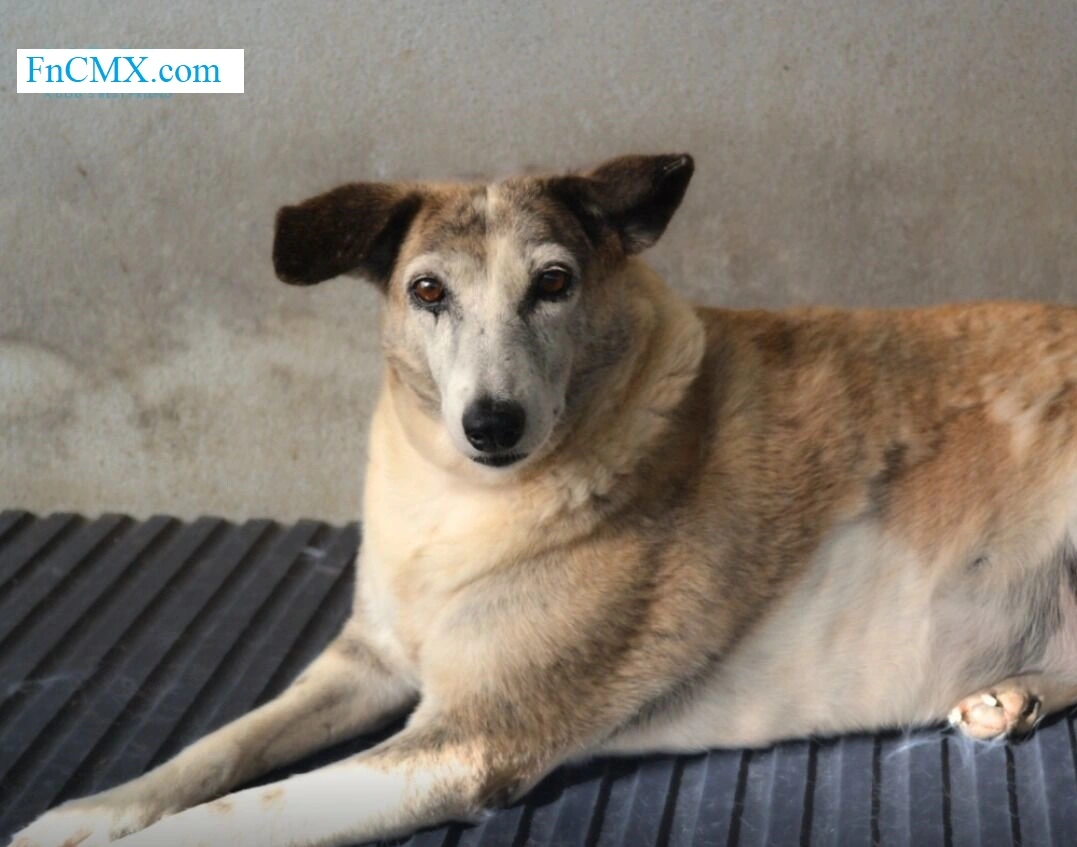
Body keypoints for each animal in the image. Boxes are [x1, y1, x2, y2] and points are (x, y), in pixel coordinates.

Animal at [10, 153, 1077, 844]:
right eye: (428, 291)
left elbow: (238, 813)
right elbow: (220, 743)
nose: (491, 424)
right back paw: (1012, 692)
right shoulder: (365, 660)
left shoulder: (469, 737)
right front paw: (89, 809)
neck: (460, 501)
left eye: (554, 284)